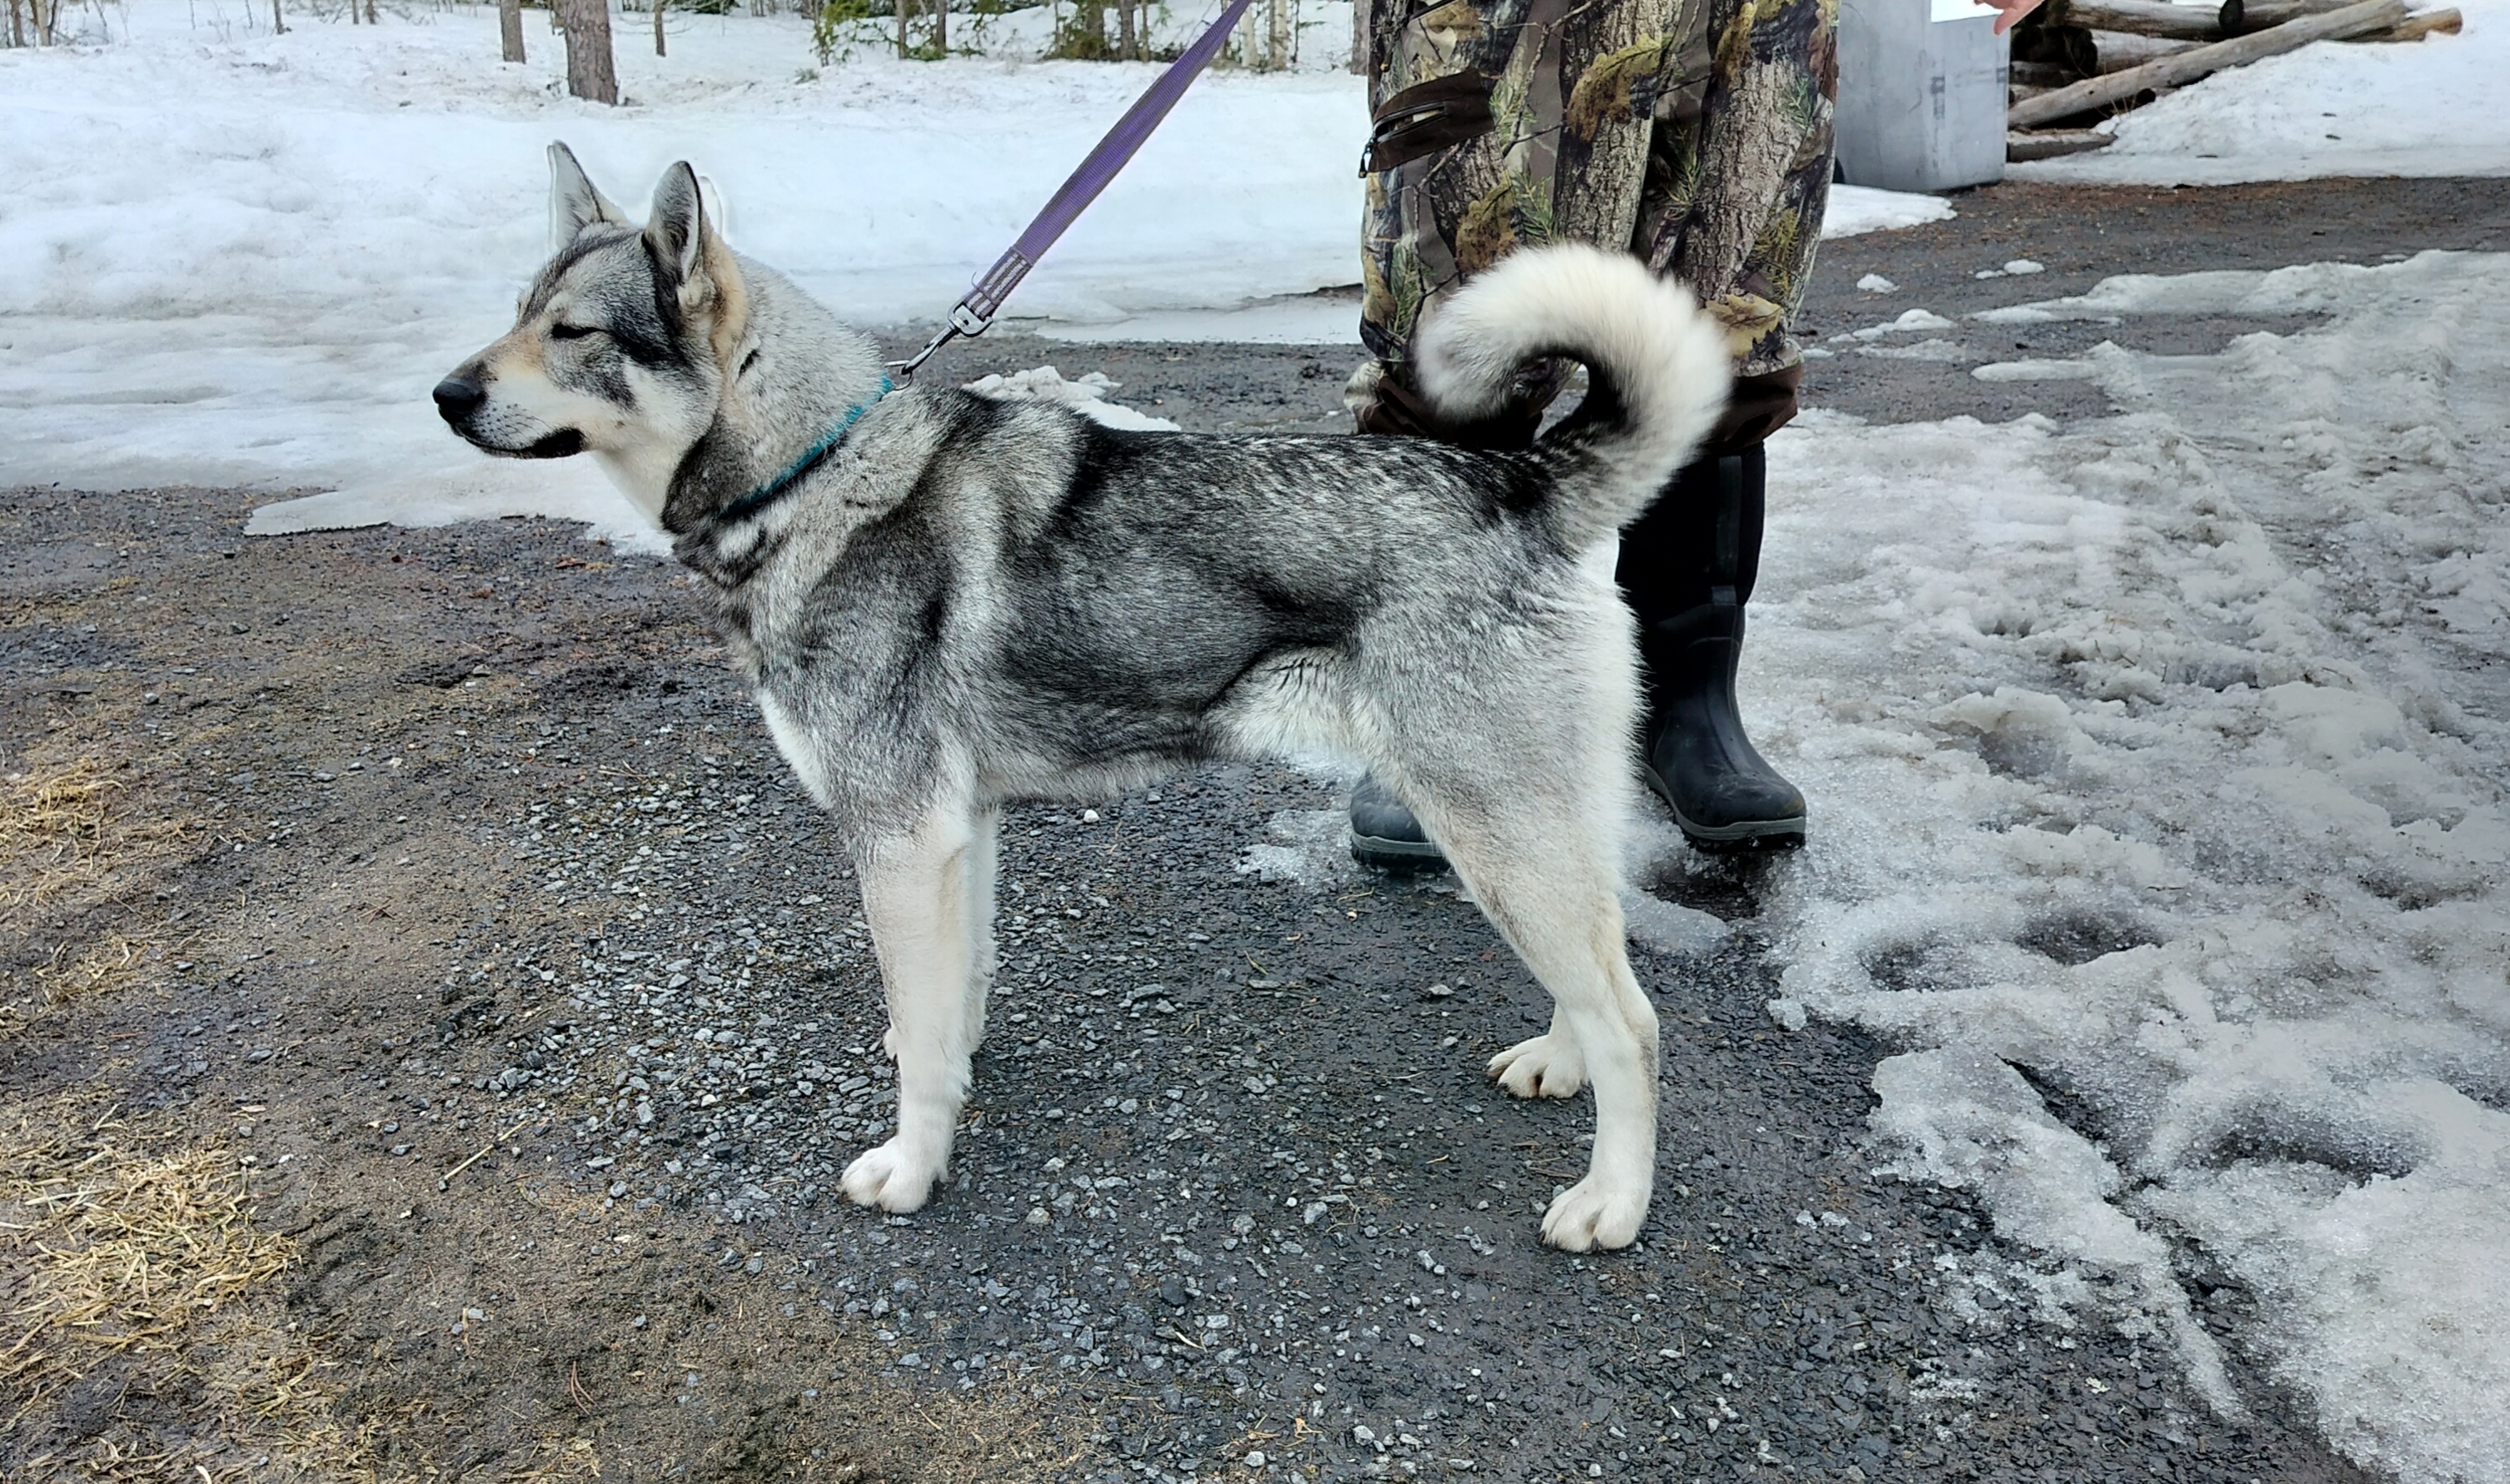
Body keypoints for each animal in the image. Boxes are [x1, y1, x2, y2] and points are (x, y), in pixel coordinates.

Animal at [434, 144, 1729, 1250]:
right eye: (515, 311)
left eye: (572, 331)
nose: (446, 394)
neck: (814, 471)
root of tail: (1519, 486)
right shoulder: (961, 833)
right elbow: (948, 1004)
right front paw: (952, 1084)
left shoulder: (898, 840)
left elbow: (916, 1041)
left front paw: (911, 1168)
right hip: (1531, 831)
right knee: (1601, 974)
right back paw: (1557, 1062)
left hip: (1494, 829)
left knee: (1635, 1024)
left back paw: (1611, 1201)